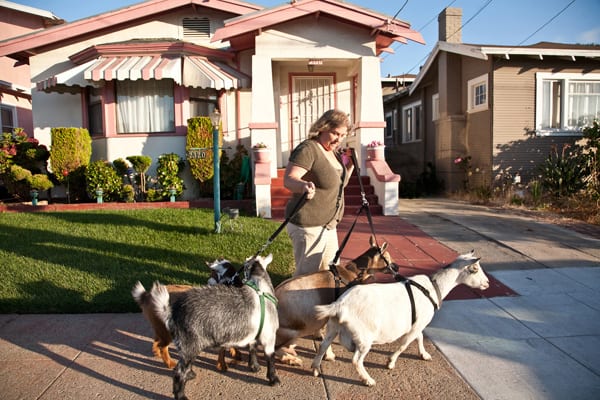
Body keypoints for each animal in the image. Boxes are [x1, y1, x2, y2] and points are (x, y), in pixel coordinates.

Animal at [151, 255, 280, 398]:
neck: (260, 287)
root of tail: (173, 312)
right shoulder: (270, 336)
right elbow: (270, 357)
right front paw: (274, 379)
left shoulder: (252, 333)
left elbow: (252, 348)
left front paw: (254, 367)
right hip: (190, 344)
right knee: (179, 373)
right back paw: (182, 395)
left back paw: (190, 374)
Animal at [274, 238, 396, 366]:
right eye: (387, 257)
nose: (396, 267)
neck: (352, 272)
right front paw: (329, 355)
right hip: (291, 333)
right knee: (274, 349)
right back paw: (291, 358)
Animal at [312, 252, 490, 386]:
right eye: (475, 269)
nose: (487, 283)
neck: (434, 287)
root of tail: (340, 305)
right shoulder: (416, 326)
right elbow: (404, 345)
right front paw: (390, 363)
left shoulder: (417, 324)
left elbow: (420, 338)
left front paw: (424, 354)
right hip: (364, 338)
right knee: (356, 360)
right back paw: (368, 380)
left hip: (333, 327)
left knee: (323, 346)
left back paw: (315, 369)